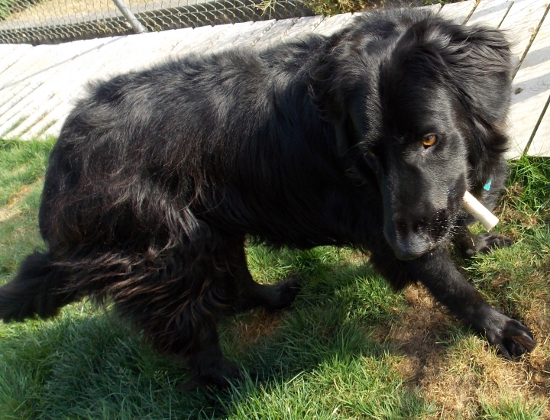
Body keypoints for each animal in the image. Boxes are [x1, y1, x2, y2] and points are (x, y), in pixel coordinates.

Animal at [0, 8, 536, 390]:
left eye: (428, 139)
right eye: (368, 153)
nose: (407, 249)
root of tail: (61, 164)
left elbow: (455, 222)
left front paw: (479, 246)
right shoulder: (381, 219)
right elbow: (453, 285)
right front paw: (499, 328)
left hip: (213, 229)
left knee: (236, 285)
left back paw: (273, 297)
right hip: (167, 254)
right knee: (195, 332)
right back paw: (228, 382)